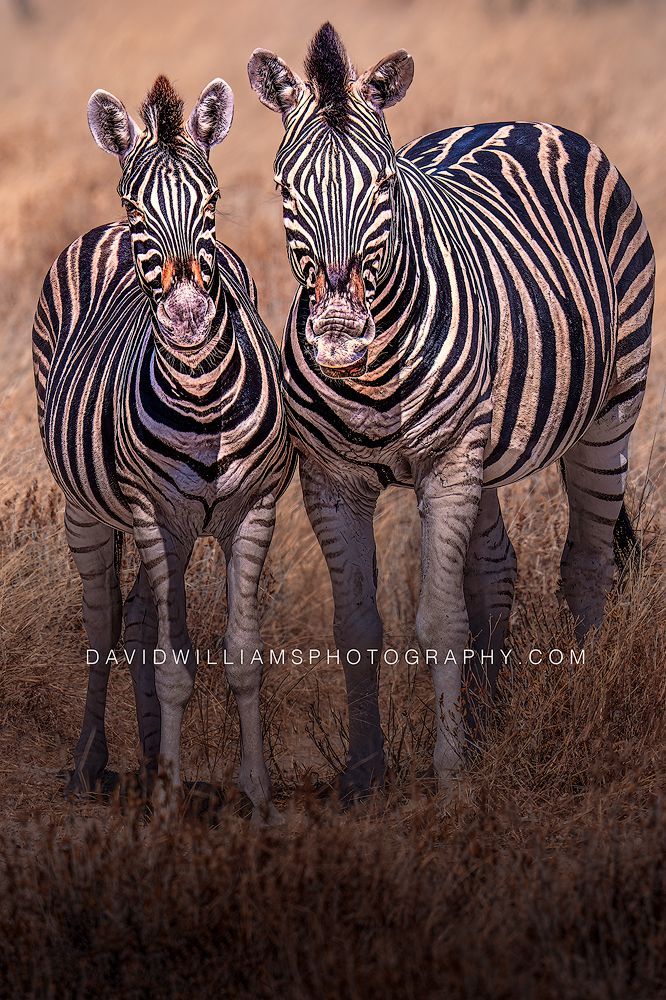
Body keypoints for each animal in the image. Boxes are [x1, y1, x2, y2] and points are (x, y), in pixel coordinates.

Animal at [32, 75, 294, 820]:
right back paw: (91, 764)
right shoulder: (155, 515)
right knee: (104, 624)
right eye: (134, 203)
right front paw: (171, 807)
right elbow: (174, 666)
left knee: (141, 622)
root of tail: (100, 234)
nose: (185, 319)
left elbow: (242, 661)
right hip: (88, 509)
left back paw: (151, 760)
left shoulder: (257, 510)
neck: (202, 399)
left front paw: (258, 800)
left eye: (213, 198)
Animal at [248, 24, 655, 800]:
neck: (373, 375)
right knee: (494, 570)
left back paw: (583, 702)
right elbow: (357, 627)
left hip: (610, 407)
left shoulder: (444, 462)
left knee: (588, 563)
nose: (338, 331)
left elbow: (440, 621)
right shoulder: (330, 480)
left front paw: (451, 778)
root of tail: (521, 119)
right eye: (284, 186)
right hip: (485, 450)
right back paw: (492, 724)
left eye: (383, 183)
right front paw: (365, 773)